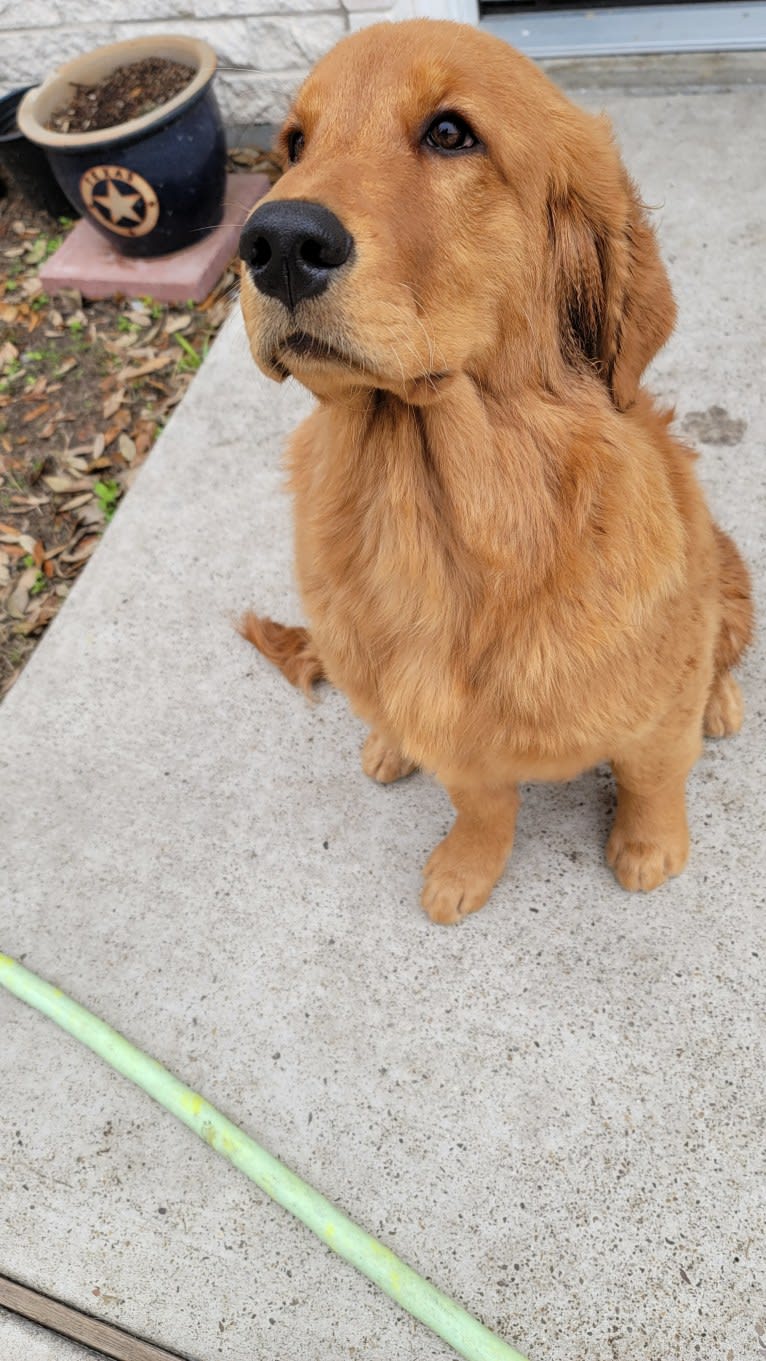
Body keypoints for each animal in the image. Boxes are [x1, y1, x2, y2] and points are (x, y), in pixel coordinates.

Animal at [236, 18, 751, 925]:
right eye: (294, 144)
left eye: (451, 133)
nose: (276, 243)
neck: (435, 503)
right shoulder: (463, 746)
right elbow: (481, 801)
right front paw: (465, 868)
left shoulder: (656, 707)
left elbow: (654, 769)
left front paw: (650, 847)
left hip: (729, 571)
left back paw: (721, 702)